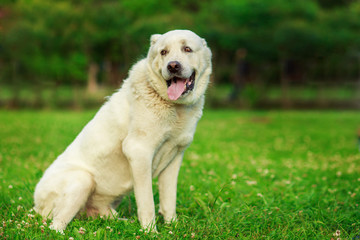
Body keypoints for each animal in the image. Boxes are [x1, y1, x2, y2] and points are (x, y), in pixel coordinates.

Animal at [33, 29, 211, 232]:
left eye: (187, 49)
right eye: (163, 52)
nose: (173, 66)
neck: (175, 107)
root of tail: (35, 205)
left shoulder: (174, 159)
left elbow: (168, 200)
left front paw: (172, 225)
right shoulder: (139, 152)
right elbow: (147, 202)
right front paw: (150, 231)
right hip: (83, 180)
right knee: (54, 226)